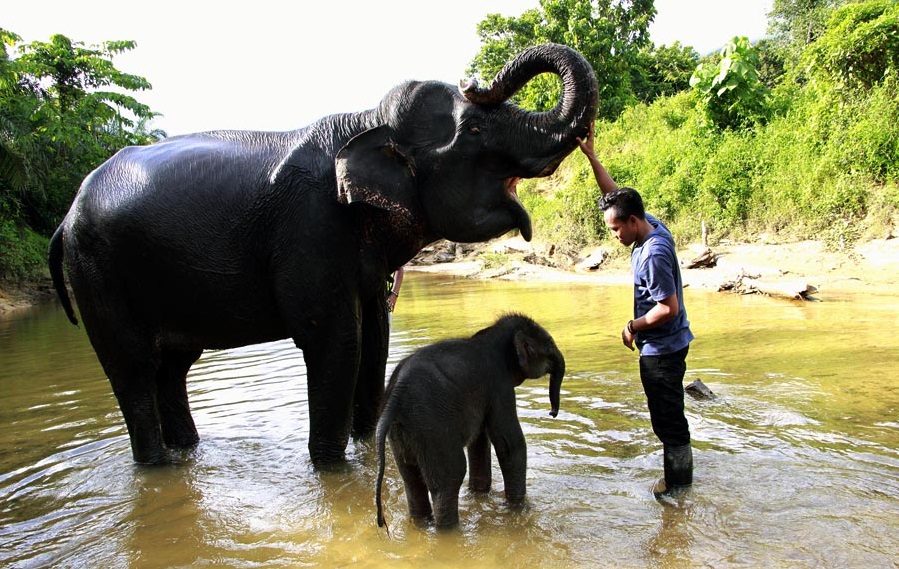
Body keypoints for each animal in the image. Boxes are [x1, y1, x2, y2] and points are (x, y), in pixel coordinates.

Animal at [47, 43, 597, 467]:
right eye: (476, 131)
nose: (473, 77)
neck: (365, 122)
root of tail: (65, 219)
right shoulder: (310, 229)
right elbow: (336, 341)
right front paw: (332, 471)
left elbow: (375, 340)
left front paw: (367, 449)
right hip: (98, 274)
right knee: (133, 368)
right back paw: (157, 465)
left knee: (174, 366)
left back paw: (188, 454)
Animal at [375, 313, 565, 529]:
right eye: (549, 345)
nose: (552, 413)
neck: (491, 334)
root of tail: (395, 396)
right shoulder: (498, 385)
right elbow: (510, 445)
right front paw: (518, 509)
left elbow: (480, 441)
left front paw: (480, 495)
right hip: (433, 431)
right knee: (449, 478)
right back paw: (449, 531)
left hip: (402, 434)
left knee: (411, 479)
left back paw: (422, 524)